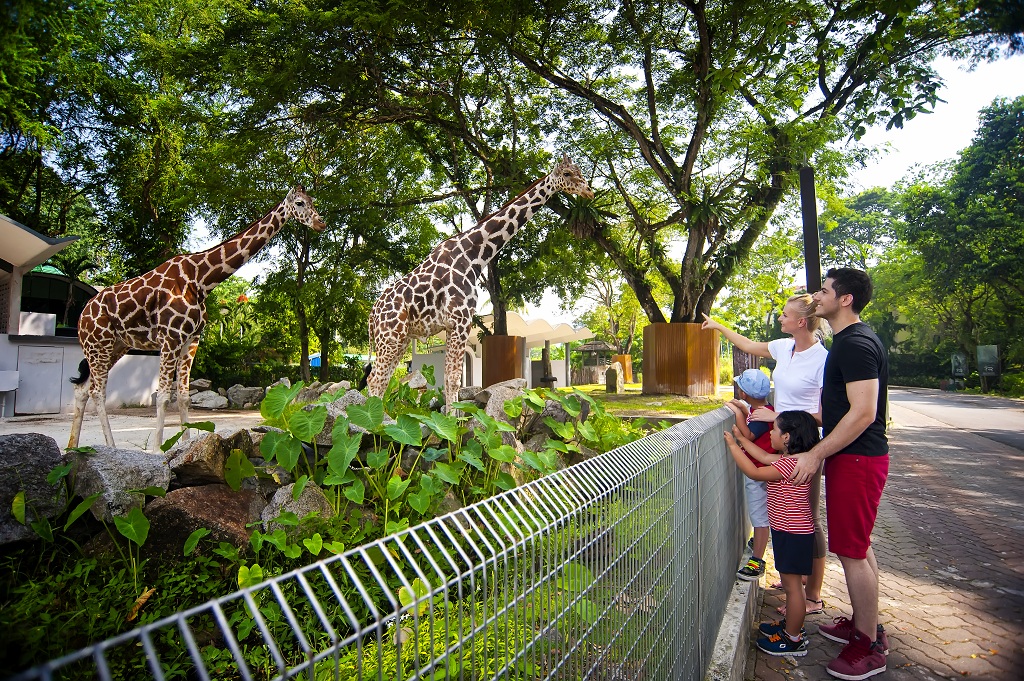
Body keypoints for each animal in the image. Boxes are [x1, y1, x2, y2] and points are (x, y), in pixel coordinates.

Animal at [69, 187, 323, 450]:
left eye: (313, 201)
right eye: (300, 203)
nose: (320, 223)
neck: (202, 279)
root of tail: (81, 316)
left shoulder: (191, 339)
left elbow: (183, 396)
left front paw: (186, 444)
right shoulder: (170, 338)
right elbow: (162, 395)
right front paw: (157, 451)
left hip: (115, 347)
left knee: (82, 389)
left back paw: (73, 447)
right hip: (99, 345)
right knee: (98, 392)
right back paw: (110, 447)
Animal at [366, 153, 593, 409]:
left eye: (579, 171)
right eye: (567, 174)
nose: (589, 191)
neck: (474, 255)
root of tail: (372, 315)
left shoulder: (456, 324)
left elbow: (452, 379)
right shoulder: (460, 320)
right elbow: (454, 379)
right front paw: (451, 421)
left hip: (400, 339)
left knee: (382, 379)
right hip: (390, 337)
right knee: (375, 379)